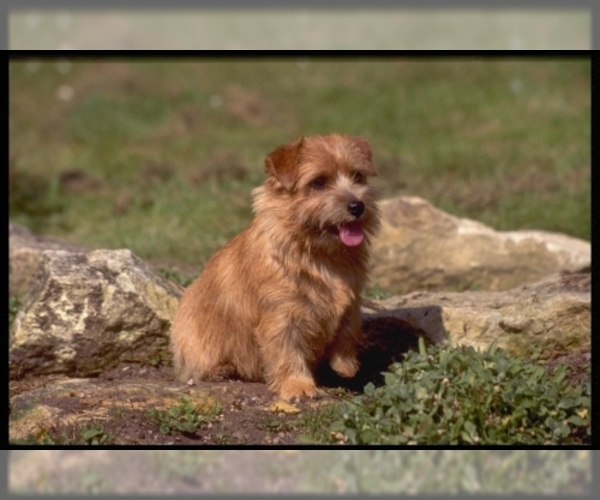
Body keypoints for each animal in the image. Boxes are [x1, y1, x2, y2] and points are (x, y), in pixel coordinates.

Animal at [170, 133, 380, 398]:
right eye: (319, 182)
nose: (357, 206)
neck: (320, 254)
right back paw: (223, 369)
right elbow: (286, 351)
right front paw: (298, 385)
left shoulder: (351, 301)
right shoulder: (281, 314)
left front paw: (346, 366)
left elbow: (348, 331)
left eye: (357, 176)